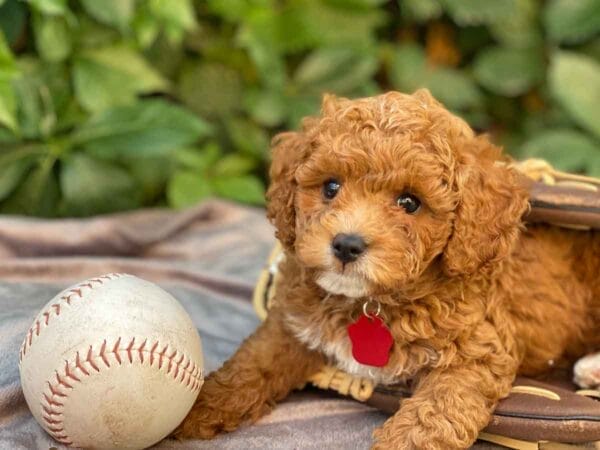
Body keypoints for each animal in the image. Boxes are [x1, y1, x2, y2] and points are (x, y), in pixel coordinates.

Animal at [176, 89, 596, 448]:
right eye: (330, 187)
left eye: (409, 202)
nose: (346, 244)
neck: (369, 302)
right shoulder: (291, 326)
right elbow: (251, 365)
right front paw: (199, 407)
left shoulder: (476, 353)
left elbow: (433, 416)